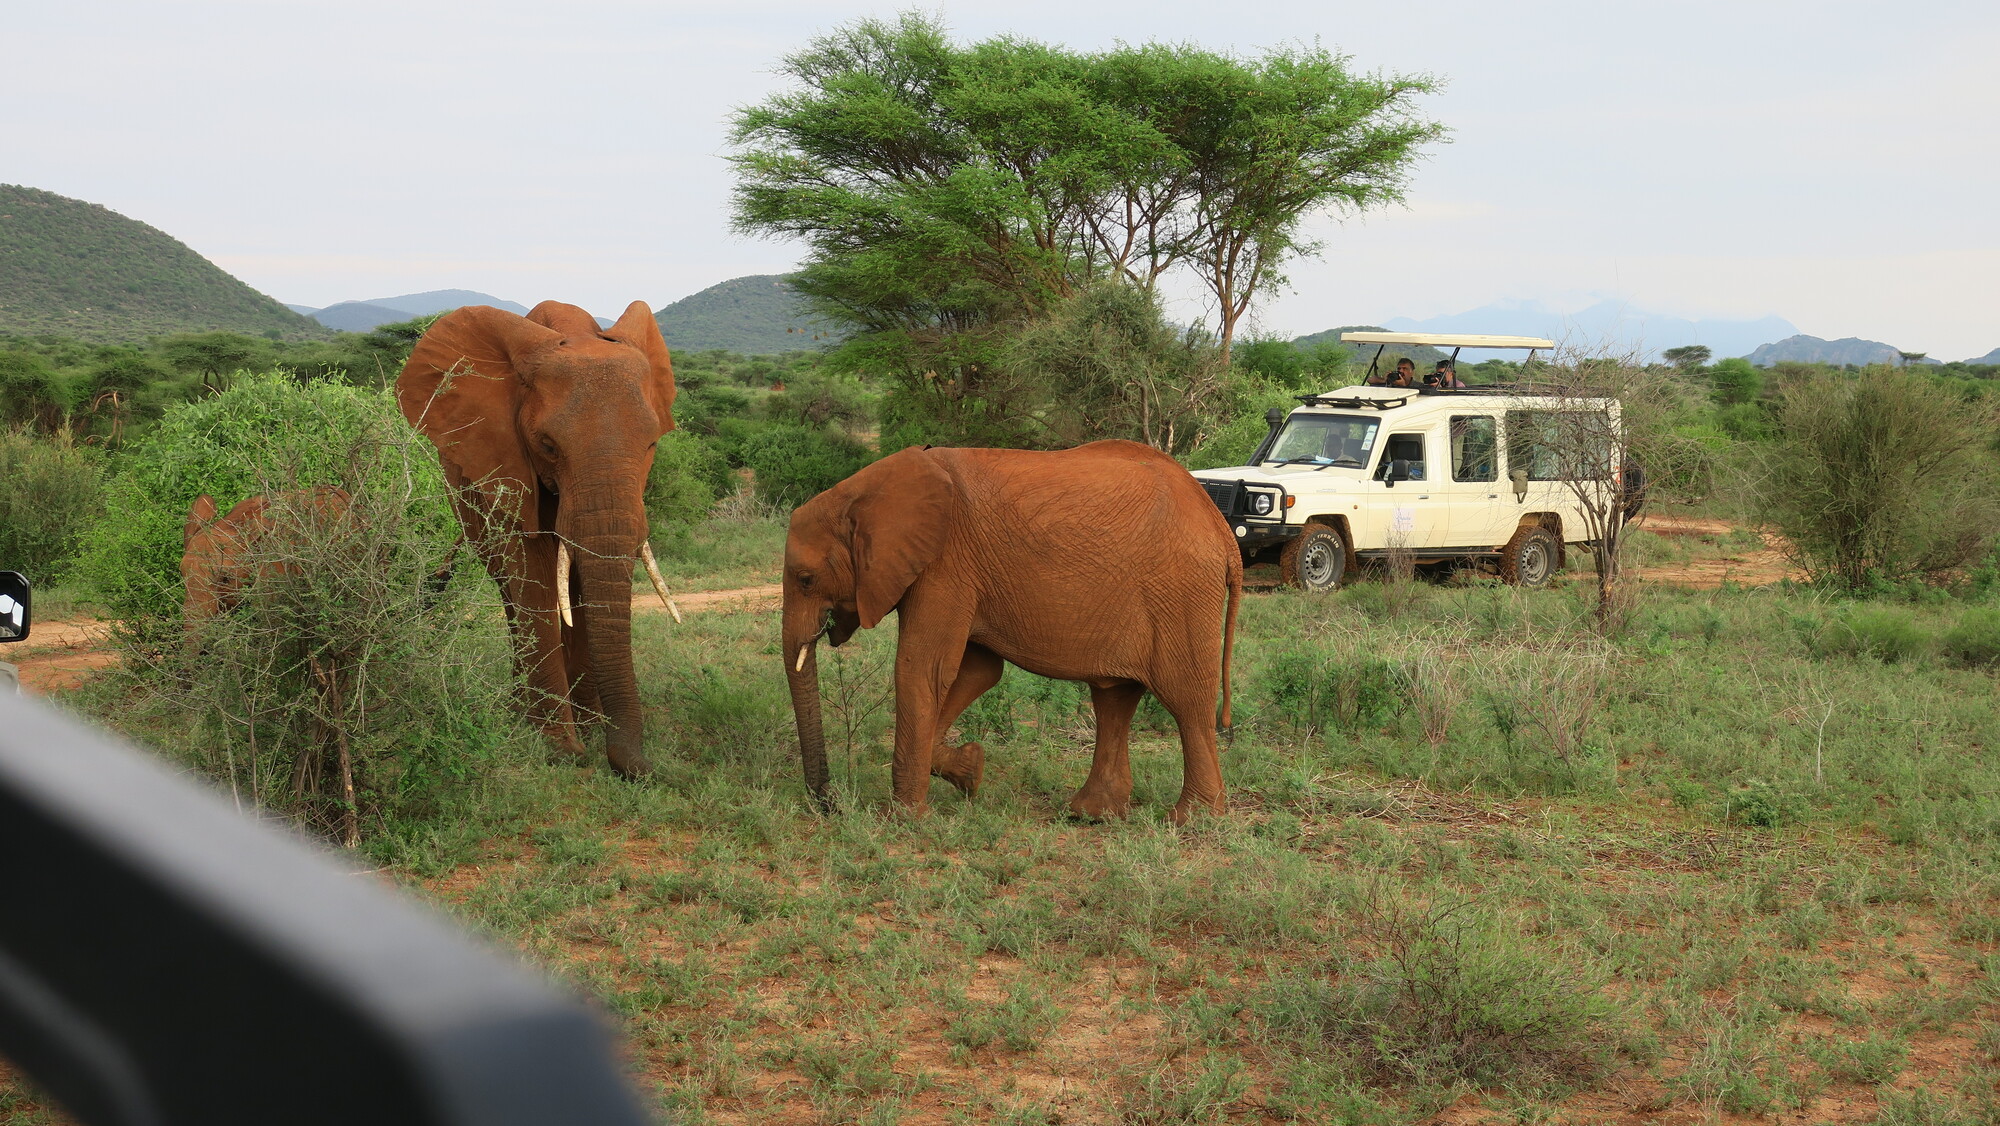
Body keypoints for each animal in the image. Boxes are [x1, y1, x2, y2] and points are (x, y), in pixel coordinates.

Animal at [396, 301, 677, 778]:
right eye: (547, 445)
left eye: (651, 444)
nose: (647, 770)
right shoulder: (505, 460)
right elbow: (536, 570)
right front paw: (561, 749)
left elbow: (580, 581)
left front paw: (588, 727)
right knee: (509, 591)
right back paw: (520, 712)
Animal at [781, 441, 1243, 824]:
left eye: (805, 580)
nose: (829, 804)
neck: (864, 490)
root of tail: (1221, 529)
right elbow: (977, 672)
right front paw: (971, 772)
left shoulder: (944, 566)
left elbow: (921, 671)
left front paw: (905, 819)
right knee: (1114, 698)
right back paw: (1091, 814)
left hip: (1181, 593)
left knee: (1185, 700)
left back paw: (1191, 820)